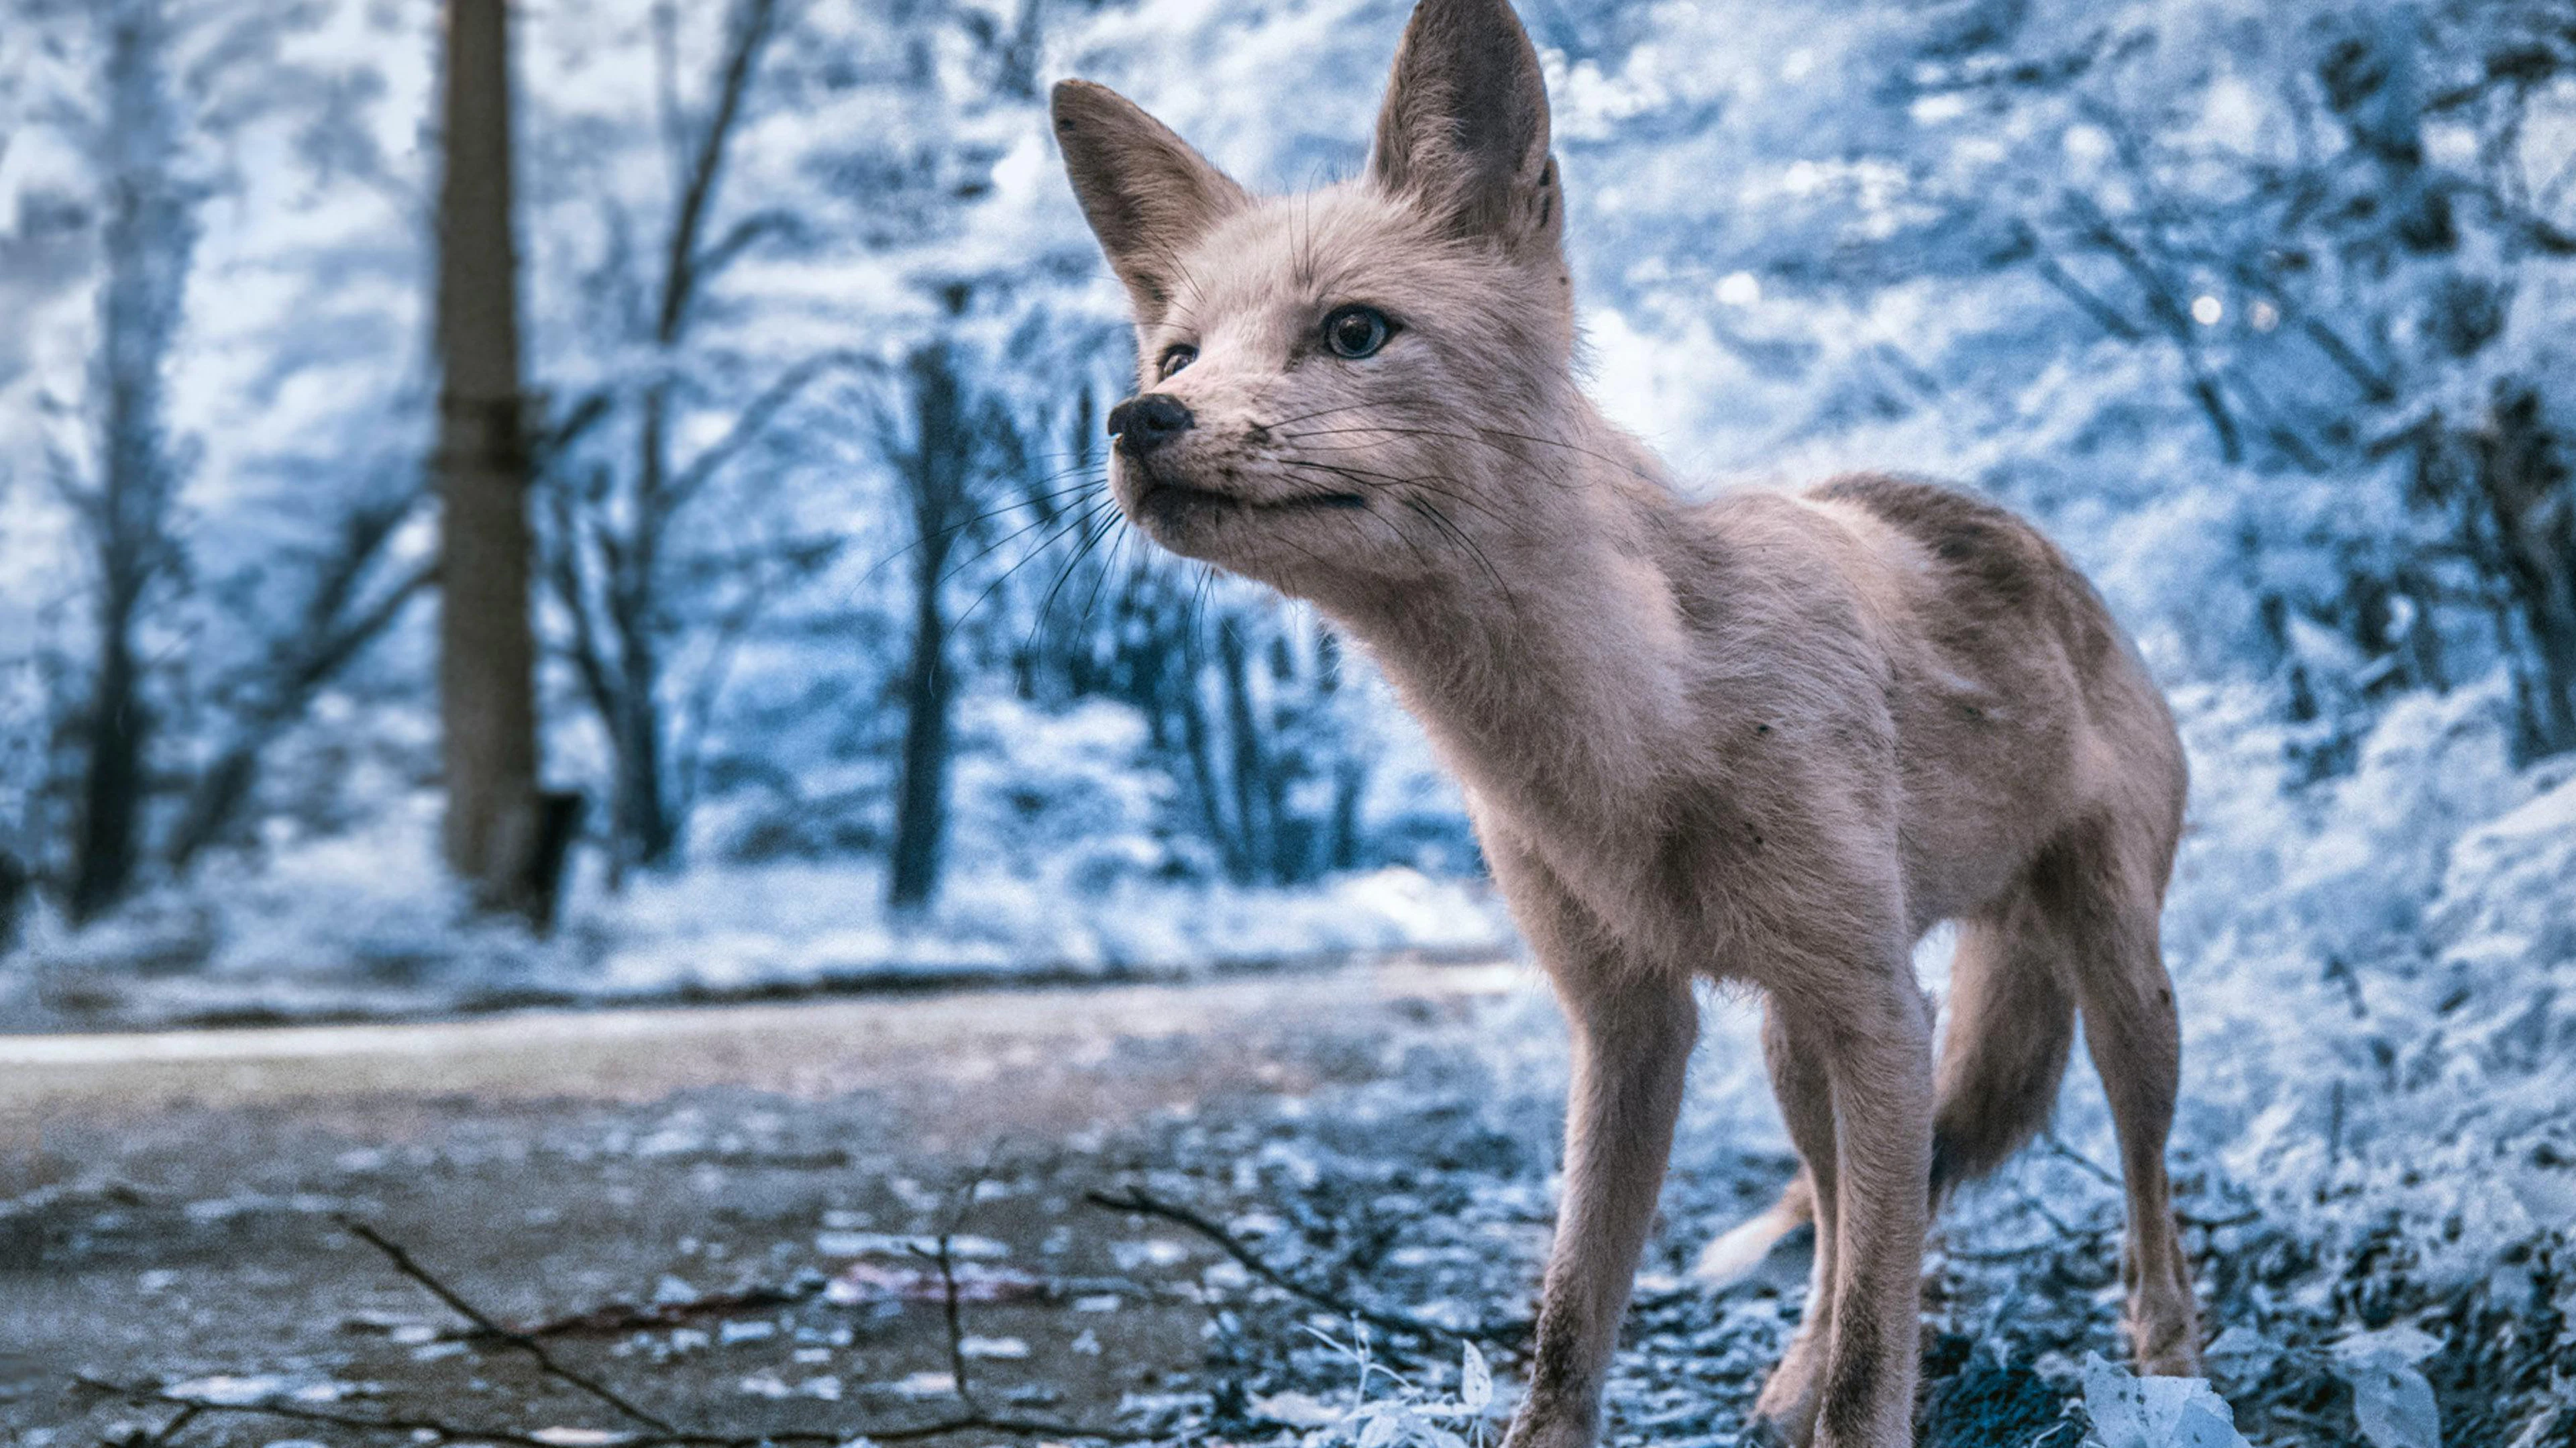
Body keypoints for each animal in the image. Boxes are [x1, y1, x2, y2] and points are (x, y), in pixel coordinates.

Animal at [1048, 1, 2203, 1444]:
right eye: (1180, 354)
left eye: (1356, 332)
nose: (1136, 419)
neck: (1642, 733)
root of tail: (2021, 535)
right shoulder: (1628, 1021)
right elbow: (1570, 1322)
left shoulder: (1880, 1009)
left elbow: (1880, 1347)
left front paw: (1861, 1398)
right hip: (1792, 1044)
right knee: (1839, 1220)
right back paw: (1785, 1377)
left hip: (2110, 987)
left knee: (2137, 1195)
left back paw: (2172, 1366)